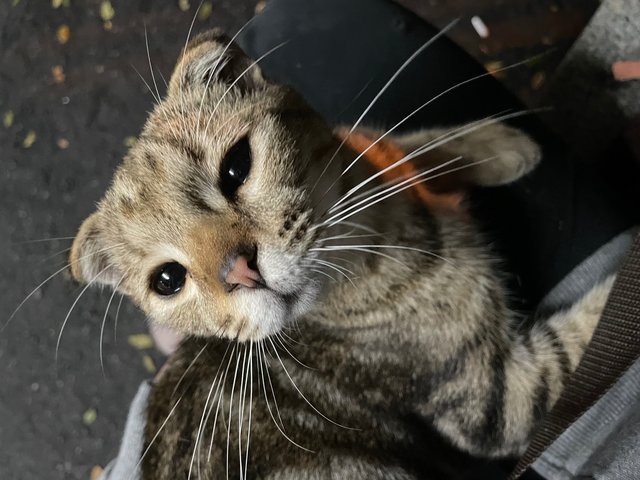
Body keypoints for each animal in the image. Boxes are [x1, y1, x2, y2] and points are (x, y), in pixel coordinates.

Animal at [67, 31, 612, 478]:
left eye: (236, 166)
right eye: (168, 280)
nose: (240, 271)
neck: (382, 228)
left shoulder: (375, 156)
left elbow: (406, 144)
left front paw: (501, 145)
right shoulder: (495, 398)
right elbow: (587, 336)